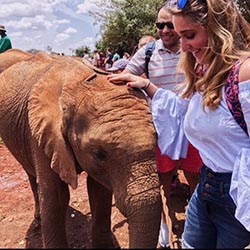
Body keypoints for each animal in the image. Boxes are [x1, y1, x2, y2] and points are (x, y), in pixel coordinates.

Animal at [0, 49, 162, 249]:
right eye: (99, 154)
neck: (81, 82)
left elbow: (99, 189)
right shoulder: (40, 134)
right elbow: (56, 197)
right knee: (32, 176)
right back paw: (38, 218)